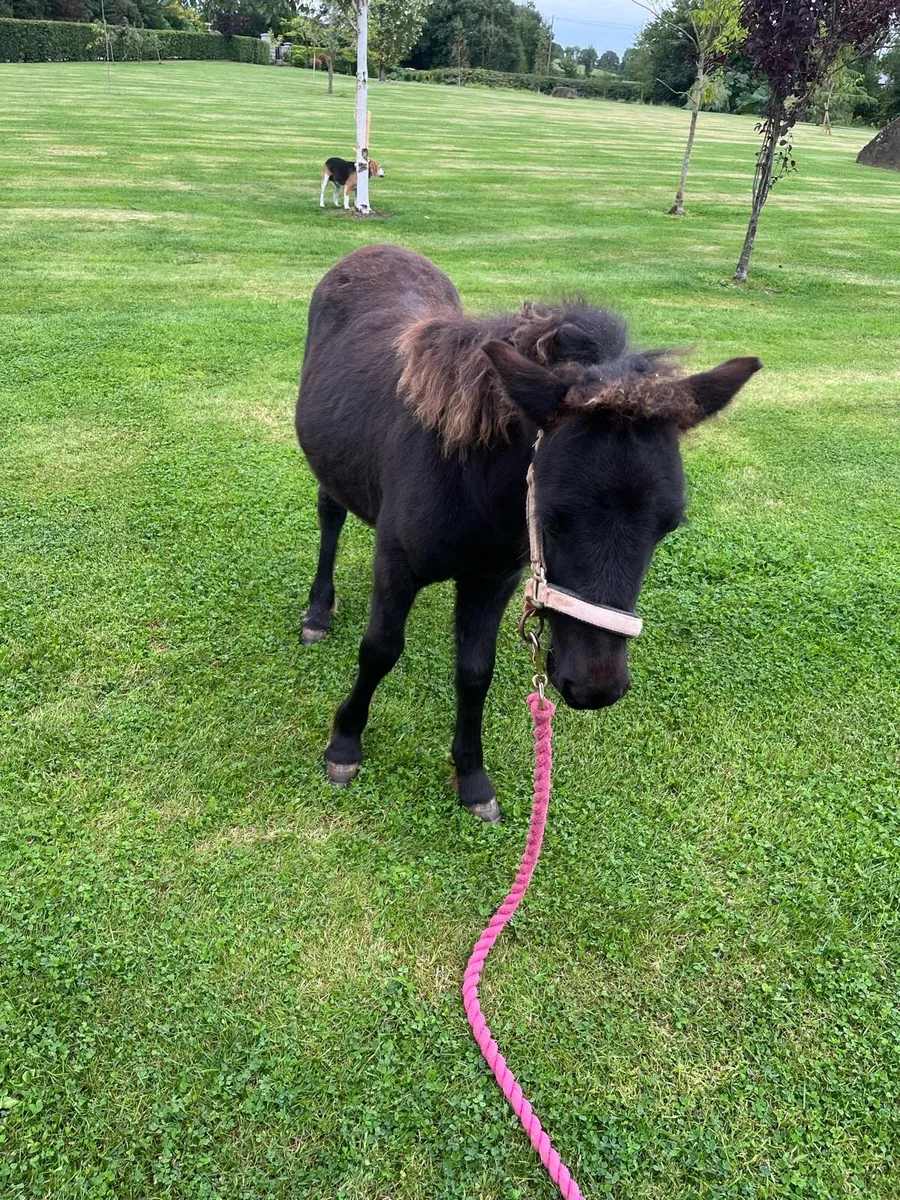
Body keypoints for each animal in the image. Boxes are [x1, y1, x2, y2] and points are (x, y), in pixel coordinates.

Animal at [295, 245, 761, 822]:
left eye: (668, 525)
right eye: (553, 515)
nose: (595, 687)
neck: (463, 475)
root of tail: (375, 249)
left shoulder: (493, 579)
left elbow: (475, 670)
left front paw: (472, 776)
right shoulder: (396, 564)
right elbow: (379, 650)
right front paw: (345, 744)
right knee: (329, 519)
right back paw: (318, 611)